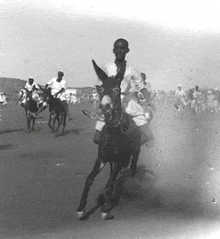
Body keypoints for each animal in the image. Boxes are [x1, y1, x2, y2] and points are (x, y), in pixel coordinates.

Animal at [77, 61, 141, 220]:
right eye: (100, 88)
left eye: (117, 89)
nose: (104, 107)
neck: (114, 132)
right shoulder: (102, 157)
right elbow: (89, 179)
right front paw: (81, 209)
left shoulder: (119, 159)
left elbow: (110, 183)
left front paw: (105, 209)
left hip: (135, 152)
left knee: (132, 168)